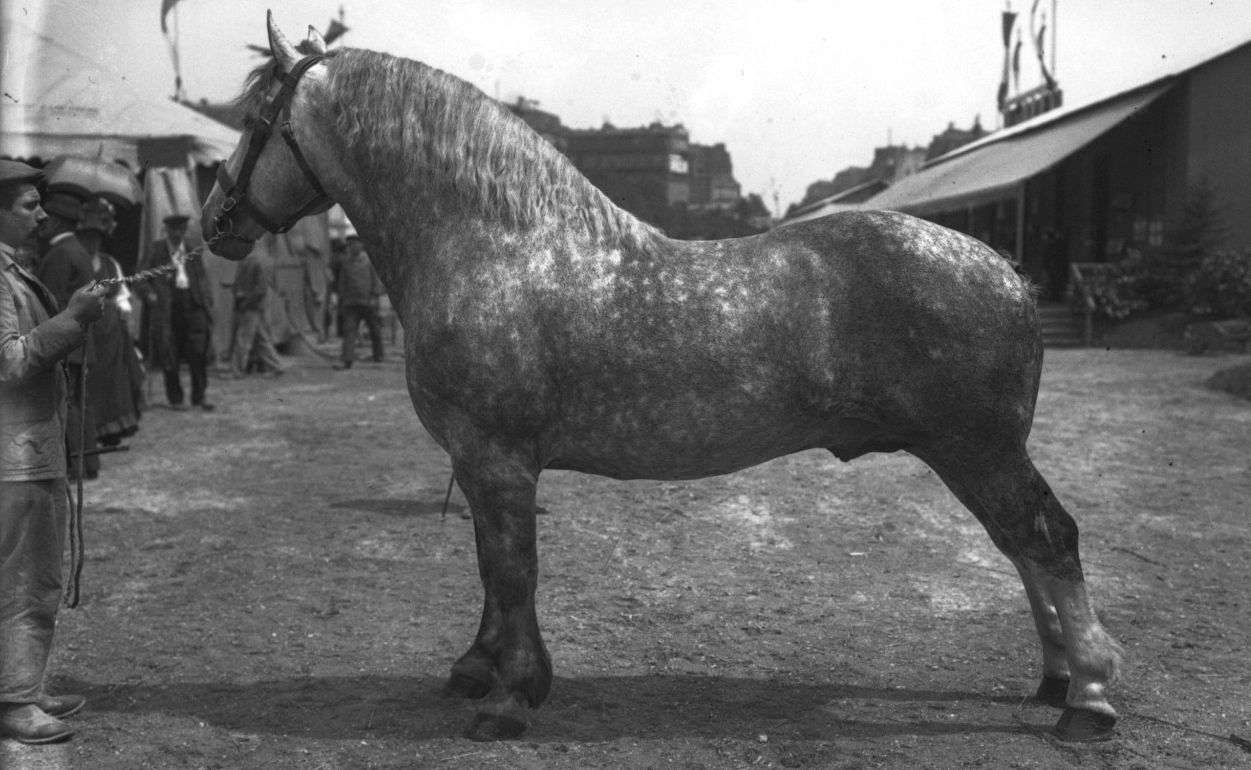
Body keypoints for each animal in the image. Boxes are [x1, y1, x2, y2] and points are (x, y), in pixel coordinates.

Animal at [202, 12, 1125, 745]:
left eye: (251, 120)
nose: (214, 225)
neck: (495, 245)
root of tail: (1003, 269)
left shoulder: (498, 460)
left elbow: (512, 570)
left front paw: (509, 697)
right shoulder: (479, 461)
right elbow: (490, 571)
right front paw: (479, 668)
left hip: (977, 449)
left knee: (1049, 539)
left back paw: (1087, 699)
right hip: (974, 454)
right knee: (1021, 546)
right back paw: (1054, 679)